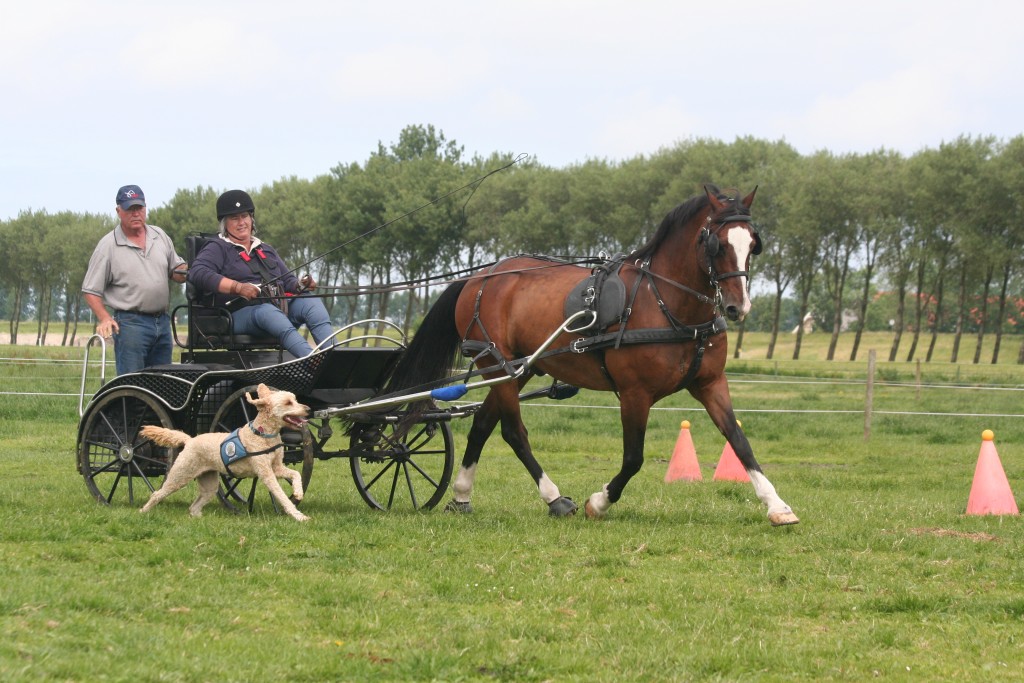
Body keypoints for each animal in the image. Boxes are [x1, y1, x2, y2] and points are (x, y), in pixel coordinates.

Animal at [138, 382, 309, 520]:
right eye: (288, 402)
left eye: (295, 399)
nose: (308, 408)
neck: (263, 434)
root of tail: (189, 440)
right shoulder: (266, 472)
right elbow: (280, 494)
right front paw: (298, 516)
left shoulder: (277, 467)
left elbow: (296, 474)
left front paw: (298, 493)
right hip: (180, 475)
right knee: (157, 494)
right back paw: (143, 512)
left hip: (209, 483)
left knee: (194, 507)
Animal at [382, 184, 798, 528]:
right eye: (717, 244)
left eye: (753, 243)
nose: (738, 307)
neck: (665, 302)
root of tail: (479, 278)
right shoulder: (634, 393)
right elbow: (633, 458)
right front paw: (599, 502)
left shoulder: (710, 384)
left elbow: (739, 442)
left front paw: (777, 505)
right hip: (494, 364)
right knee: (513, 431)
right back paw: (554, 499)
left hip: (517, 369)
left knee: (483, 424)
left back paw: (461, 496)